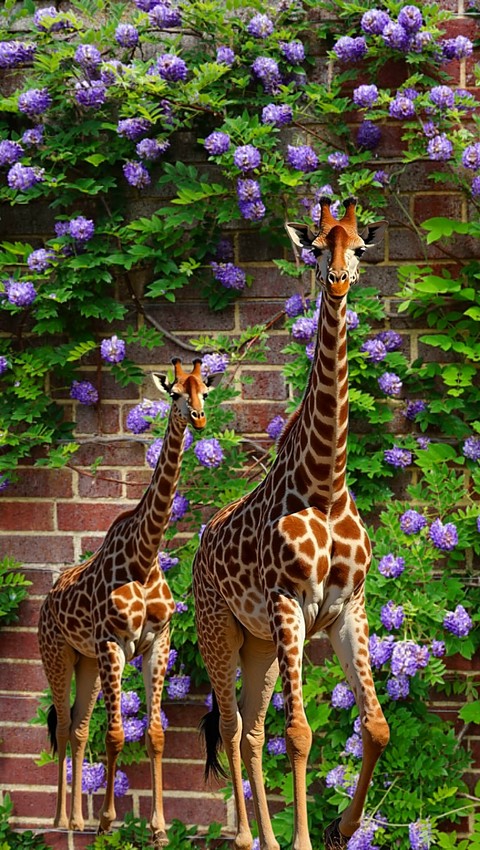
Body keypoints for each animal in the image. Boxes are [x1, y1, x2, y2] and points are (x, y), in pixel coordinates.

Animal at [38, 357, 222, 847]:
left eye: (204, 391)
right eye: (174, 393)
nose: (199, 418)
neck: (143, 557)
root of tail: (45, 601)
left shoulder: (156, 641)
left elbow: (155, 734)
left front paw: (158, 829)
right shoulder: (113, 644)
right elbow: (117, 735)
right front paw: (106, 823)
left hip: (86, 662)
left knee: (79, 726)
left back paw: (76, 820)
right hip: (58, 655)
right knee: (64, 724)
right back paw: (60, 820)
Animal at [193, 198, 389, 850]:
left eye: (359, 247)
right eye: (317, 247)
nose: (339, 280)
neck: (325, 484)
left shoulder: (347, 606)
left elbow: (375, 727)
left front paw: (340, 827)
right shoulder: (288, 601)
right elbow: (300, 734)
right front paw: (308, 839)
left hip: (262, 646)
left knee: (251, 730)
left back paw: (269, 839)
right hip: (221, 630)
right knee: (231, 728)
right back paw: (246, 837)